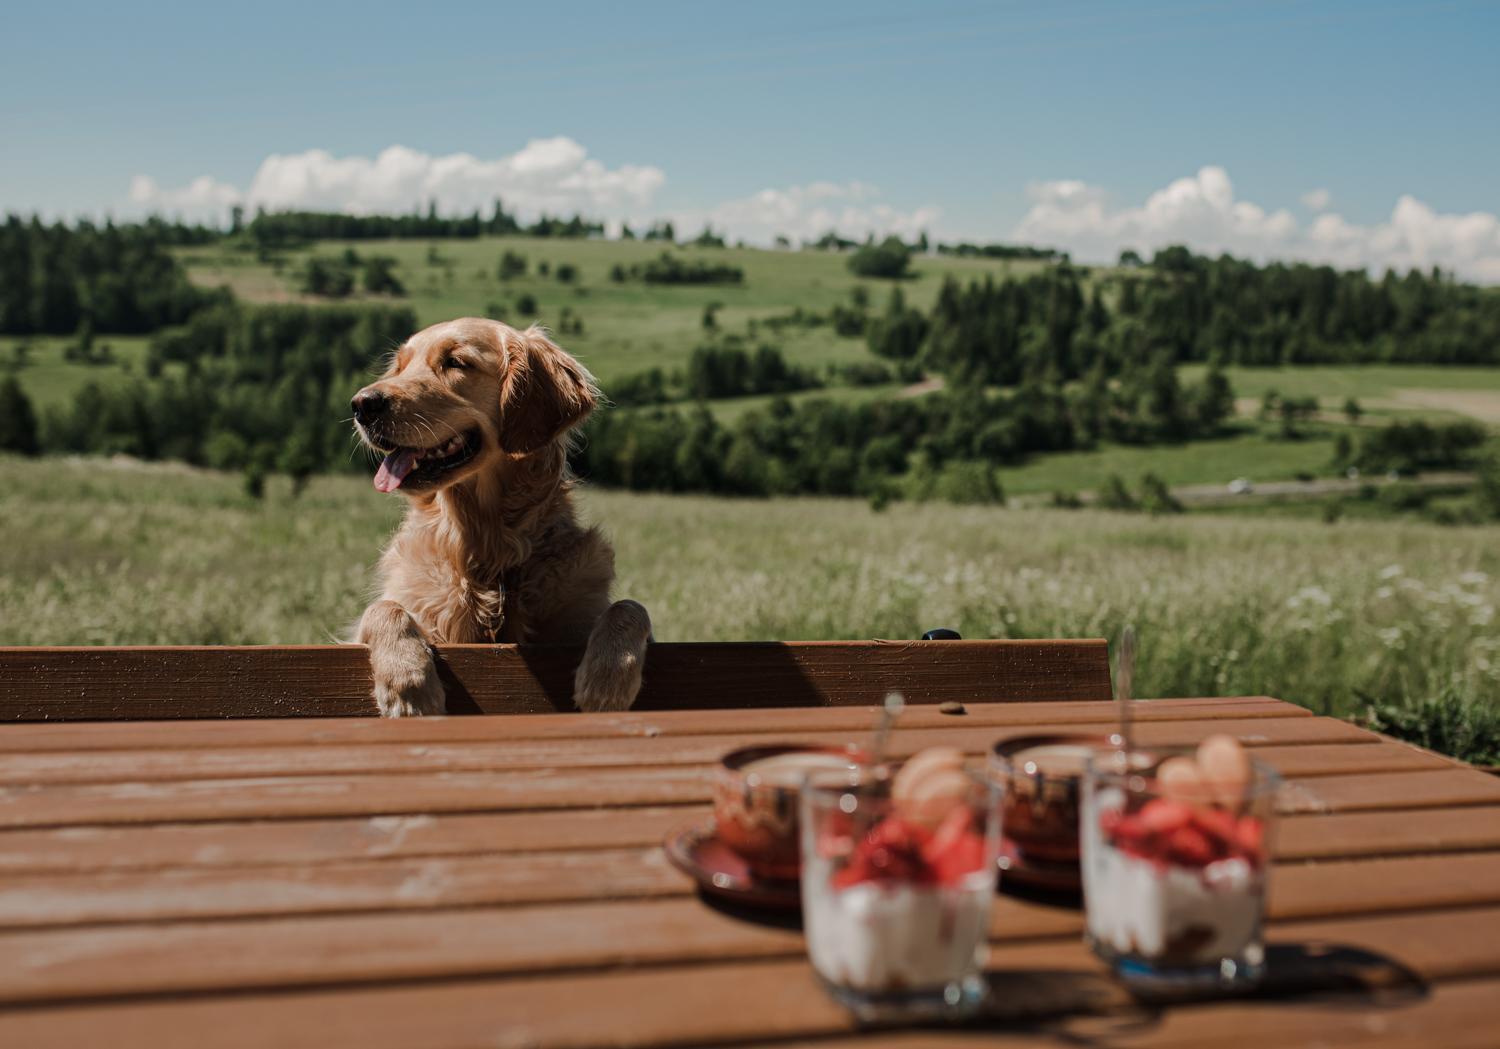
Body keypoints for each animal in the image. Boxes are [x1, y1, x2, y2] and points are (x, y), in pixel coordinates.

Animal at [357, 316, 657, 717]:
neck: (488, 556)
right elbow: (383, 607)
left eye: (456, 362)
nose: (362, 405)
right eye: (401, 367)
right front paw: (410, 685)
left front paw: (607, 678)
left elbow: (629, 607)